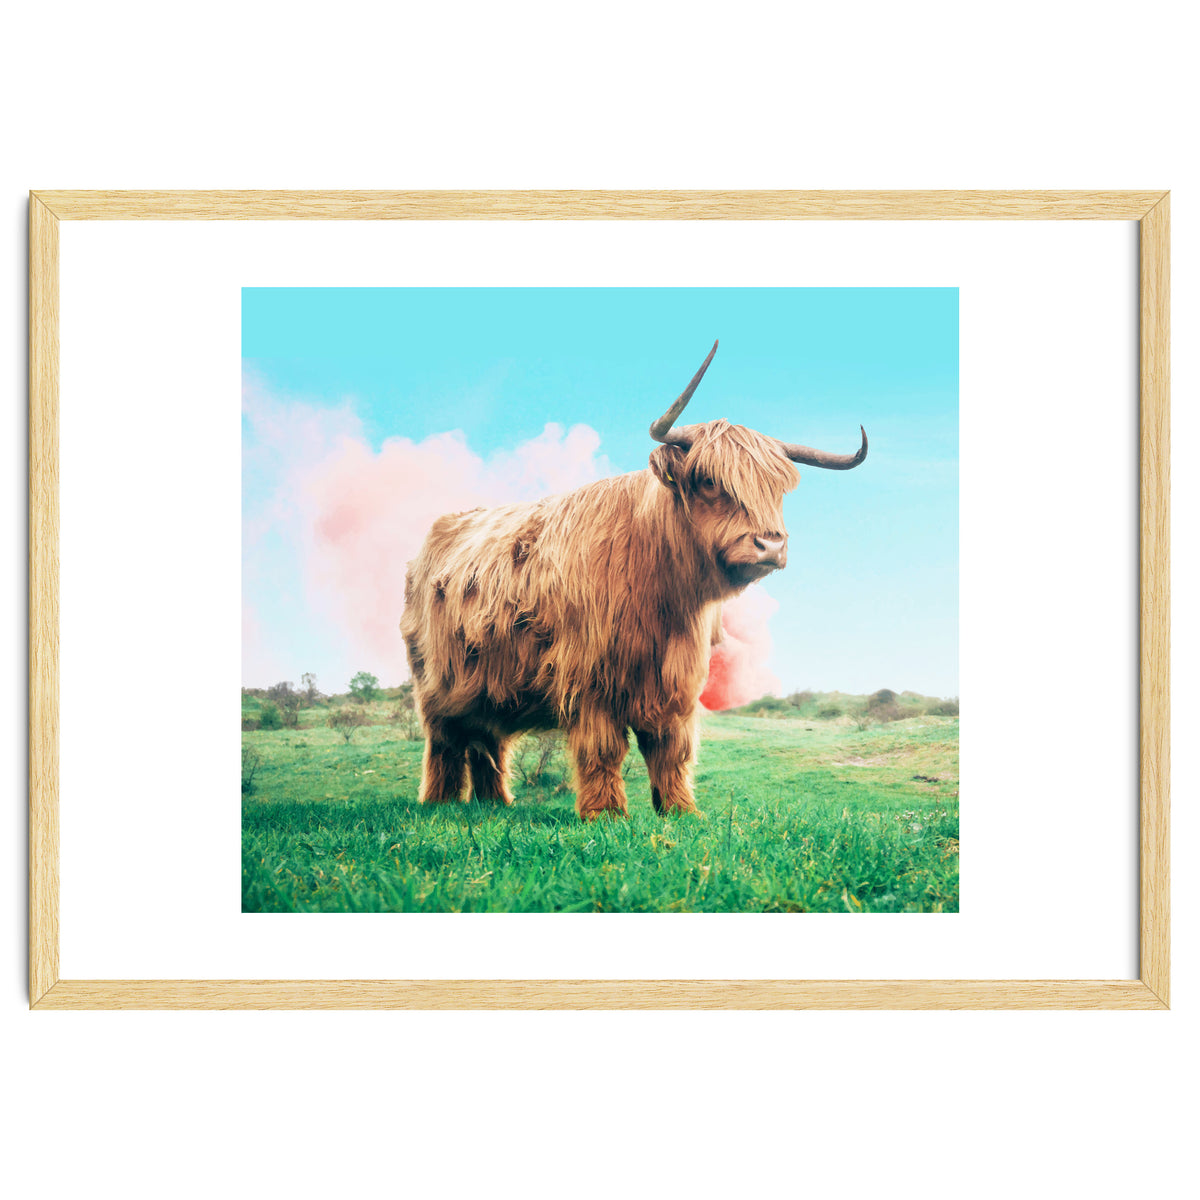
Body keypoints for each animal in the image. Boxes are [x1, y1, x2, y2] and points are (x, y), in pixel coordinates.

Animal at [400, 341, 867, 819]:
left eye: (777, 490)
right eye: (709, 481)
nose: (770, 545)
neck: (662, 594)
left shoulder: (676, 681)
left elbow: (671, 749)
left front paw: (680, 810)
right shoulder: (590, 677)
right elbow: (603, 749)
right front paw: (605, 813)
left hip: (487, 685)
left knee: (487, 740)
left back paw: (495, 803)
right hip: (436, 684)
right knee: (445, 741)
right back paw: (439, 802)